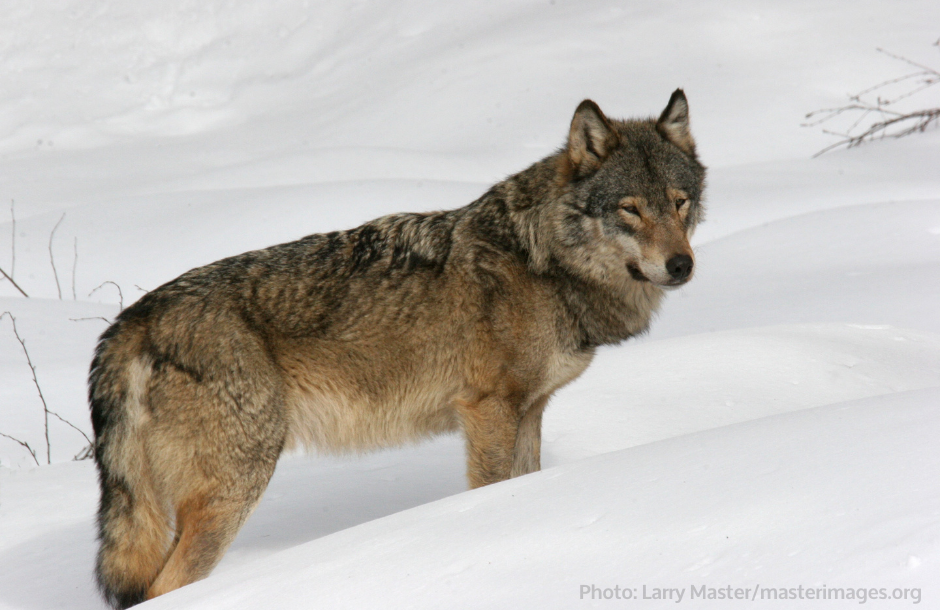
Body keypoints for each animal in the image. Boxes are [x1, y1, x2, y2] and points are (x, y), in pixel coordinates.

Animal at [90, 89, 704, 604]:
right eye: (630, 208)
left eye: (679, 202)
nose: (682, 265)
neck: (543, 260)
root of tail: (133, 320)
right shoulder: (488, 410)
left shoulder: (529, 411)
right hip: (236, 486)